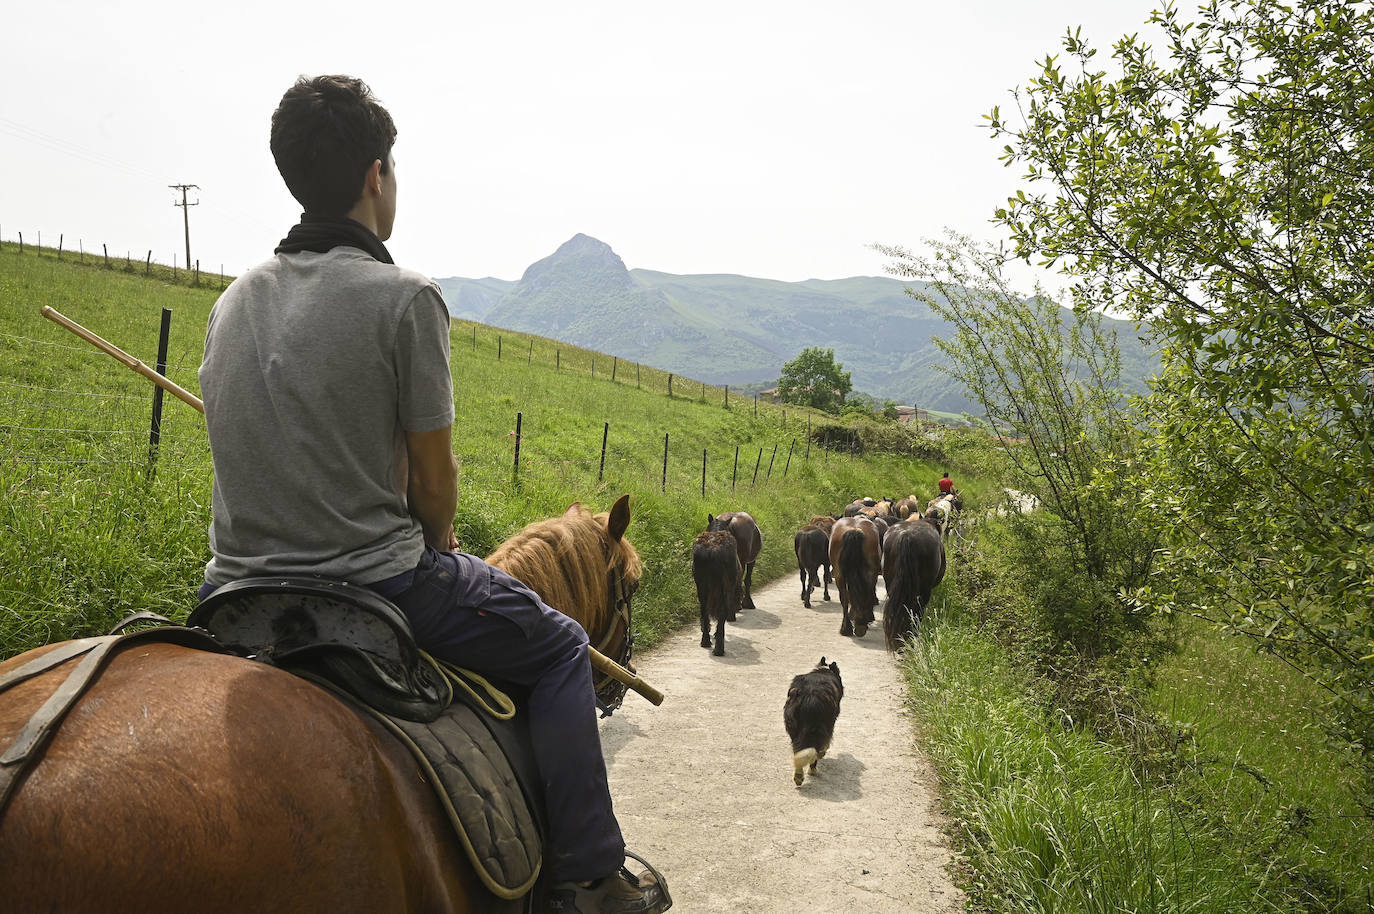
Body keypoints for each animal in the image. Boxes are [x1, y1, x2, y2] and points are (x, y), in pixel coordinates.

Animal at [780, 656, 840, 786]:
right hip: (819, 729)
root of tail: (807, 695)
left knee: (798, 751)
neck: (824, 671)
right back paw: (812, 771)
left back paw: (798, 776)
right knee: (814, 751)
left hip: (793, 728)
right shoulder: (830, 725)